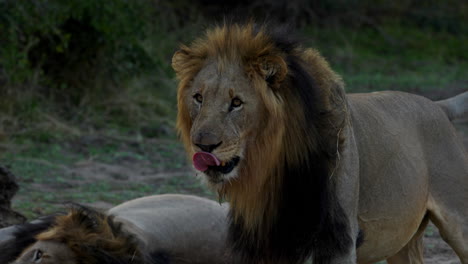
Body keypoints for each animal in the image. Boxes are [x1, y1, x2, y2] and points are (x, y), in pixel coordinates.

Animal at [173, 22, 468, 264]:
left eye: (236, 103)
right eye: (198, 98)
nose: (202, 146)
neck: (272, 170)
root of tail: (438, 106)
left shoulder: (338, 240)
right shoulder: (266, 242)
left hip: (460, 222)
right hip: (402, 240)